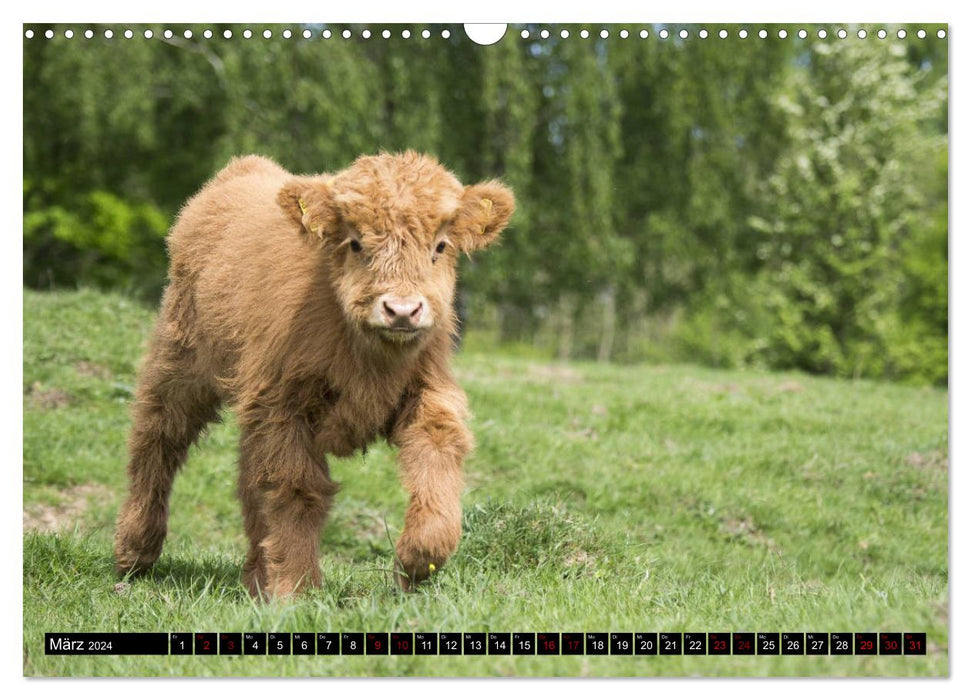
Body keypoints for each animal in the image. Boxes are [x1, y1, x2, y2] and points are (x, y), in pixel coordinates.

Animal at [114, 152, 516, 596]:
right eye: (356, 243)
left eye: (440, 246)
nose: (401, 310)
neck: (369, 360)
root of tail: (242, 169)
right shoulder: (282, 408)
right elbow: (296, 489)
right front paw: (297, 587)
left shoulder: (427, 392)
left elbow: (437, 451)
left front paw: (418, 559)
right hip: (181, 363)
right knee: (157, 437)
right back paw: (134, 552)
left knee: (246, 478)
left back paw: (255, 578)